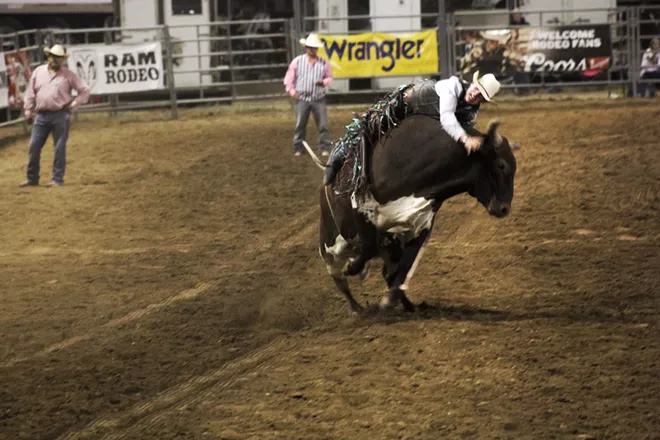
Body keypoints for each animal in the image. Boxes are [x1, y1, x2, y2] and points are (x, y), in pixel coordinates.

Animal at [302, 113, 520, 312]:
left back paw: (407, 305)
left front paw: (390, 299)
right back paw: (357, 308)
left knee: (388, 272)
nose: (504, 208)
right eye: (501, 165)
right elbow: (369, 246)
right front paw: (353, 267)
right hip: (330, 243)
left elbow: (404, 267)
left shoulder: (420, 225)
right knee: (339, 277)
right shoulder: (362, 208)